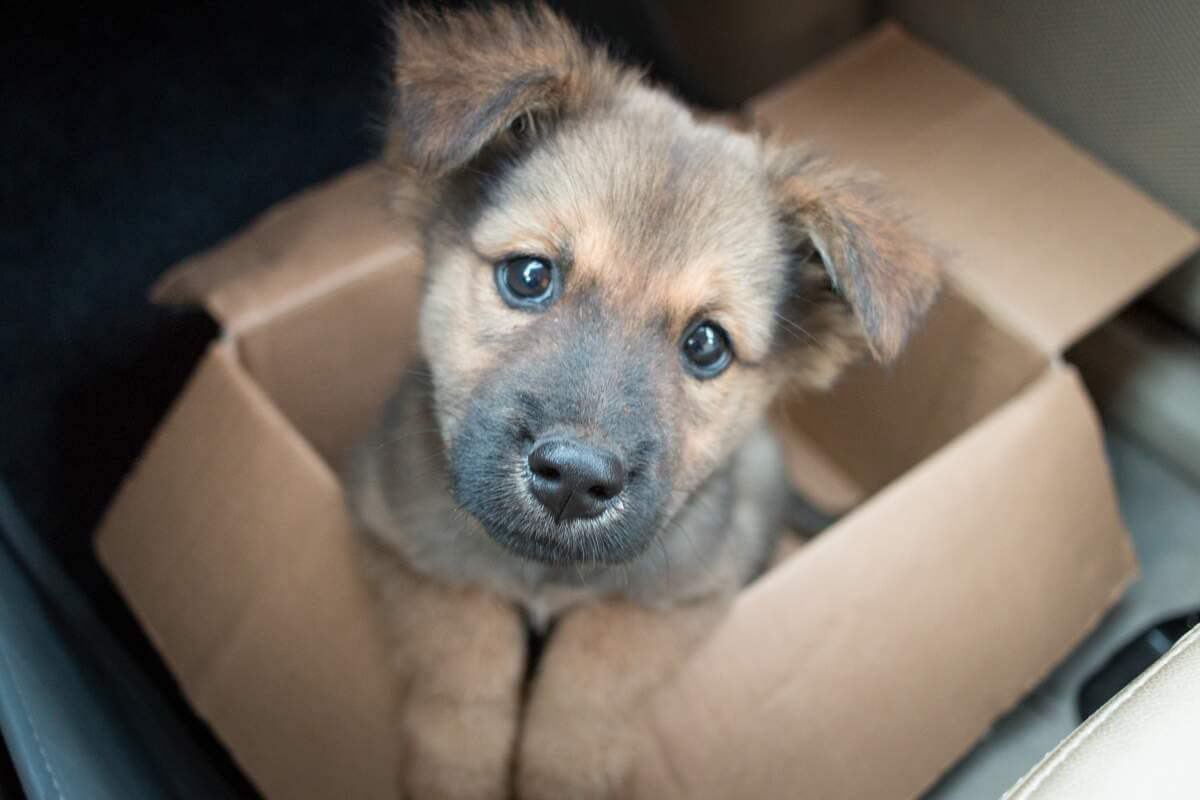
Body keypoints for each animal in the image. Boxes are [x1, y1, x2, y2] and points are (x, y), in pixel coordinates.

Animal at [343, 7, 940, 800]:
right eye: (528, 275)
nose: (573, 479)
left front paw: (562, 775)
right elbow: (464, 657)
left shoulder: (684, 591)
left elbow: (592, 677)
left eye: (706, 345)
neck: (547, 574)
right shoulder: (398, 537)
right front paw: (458, 772)